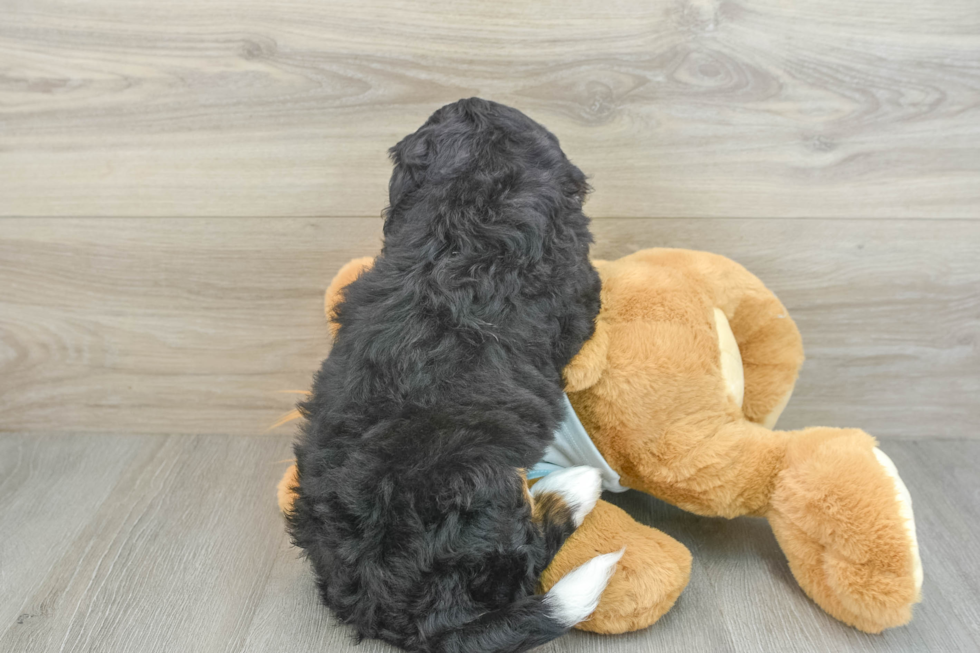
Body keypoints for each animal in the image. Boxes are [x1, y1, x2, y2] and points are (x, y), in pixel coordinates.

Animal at [288, 97, 620, 652]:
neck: (468, 215)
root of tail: (383, 603)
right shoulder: (578, 292)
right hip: (483, 491)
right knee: (529, 562)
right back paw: (576, 488)